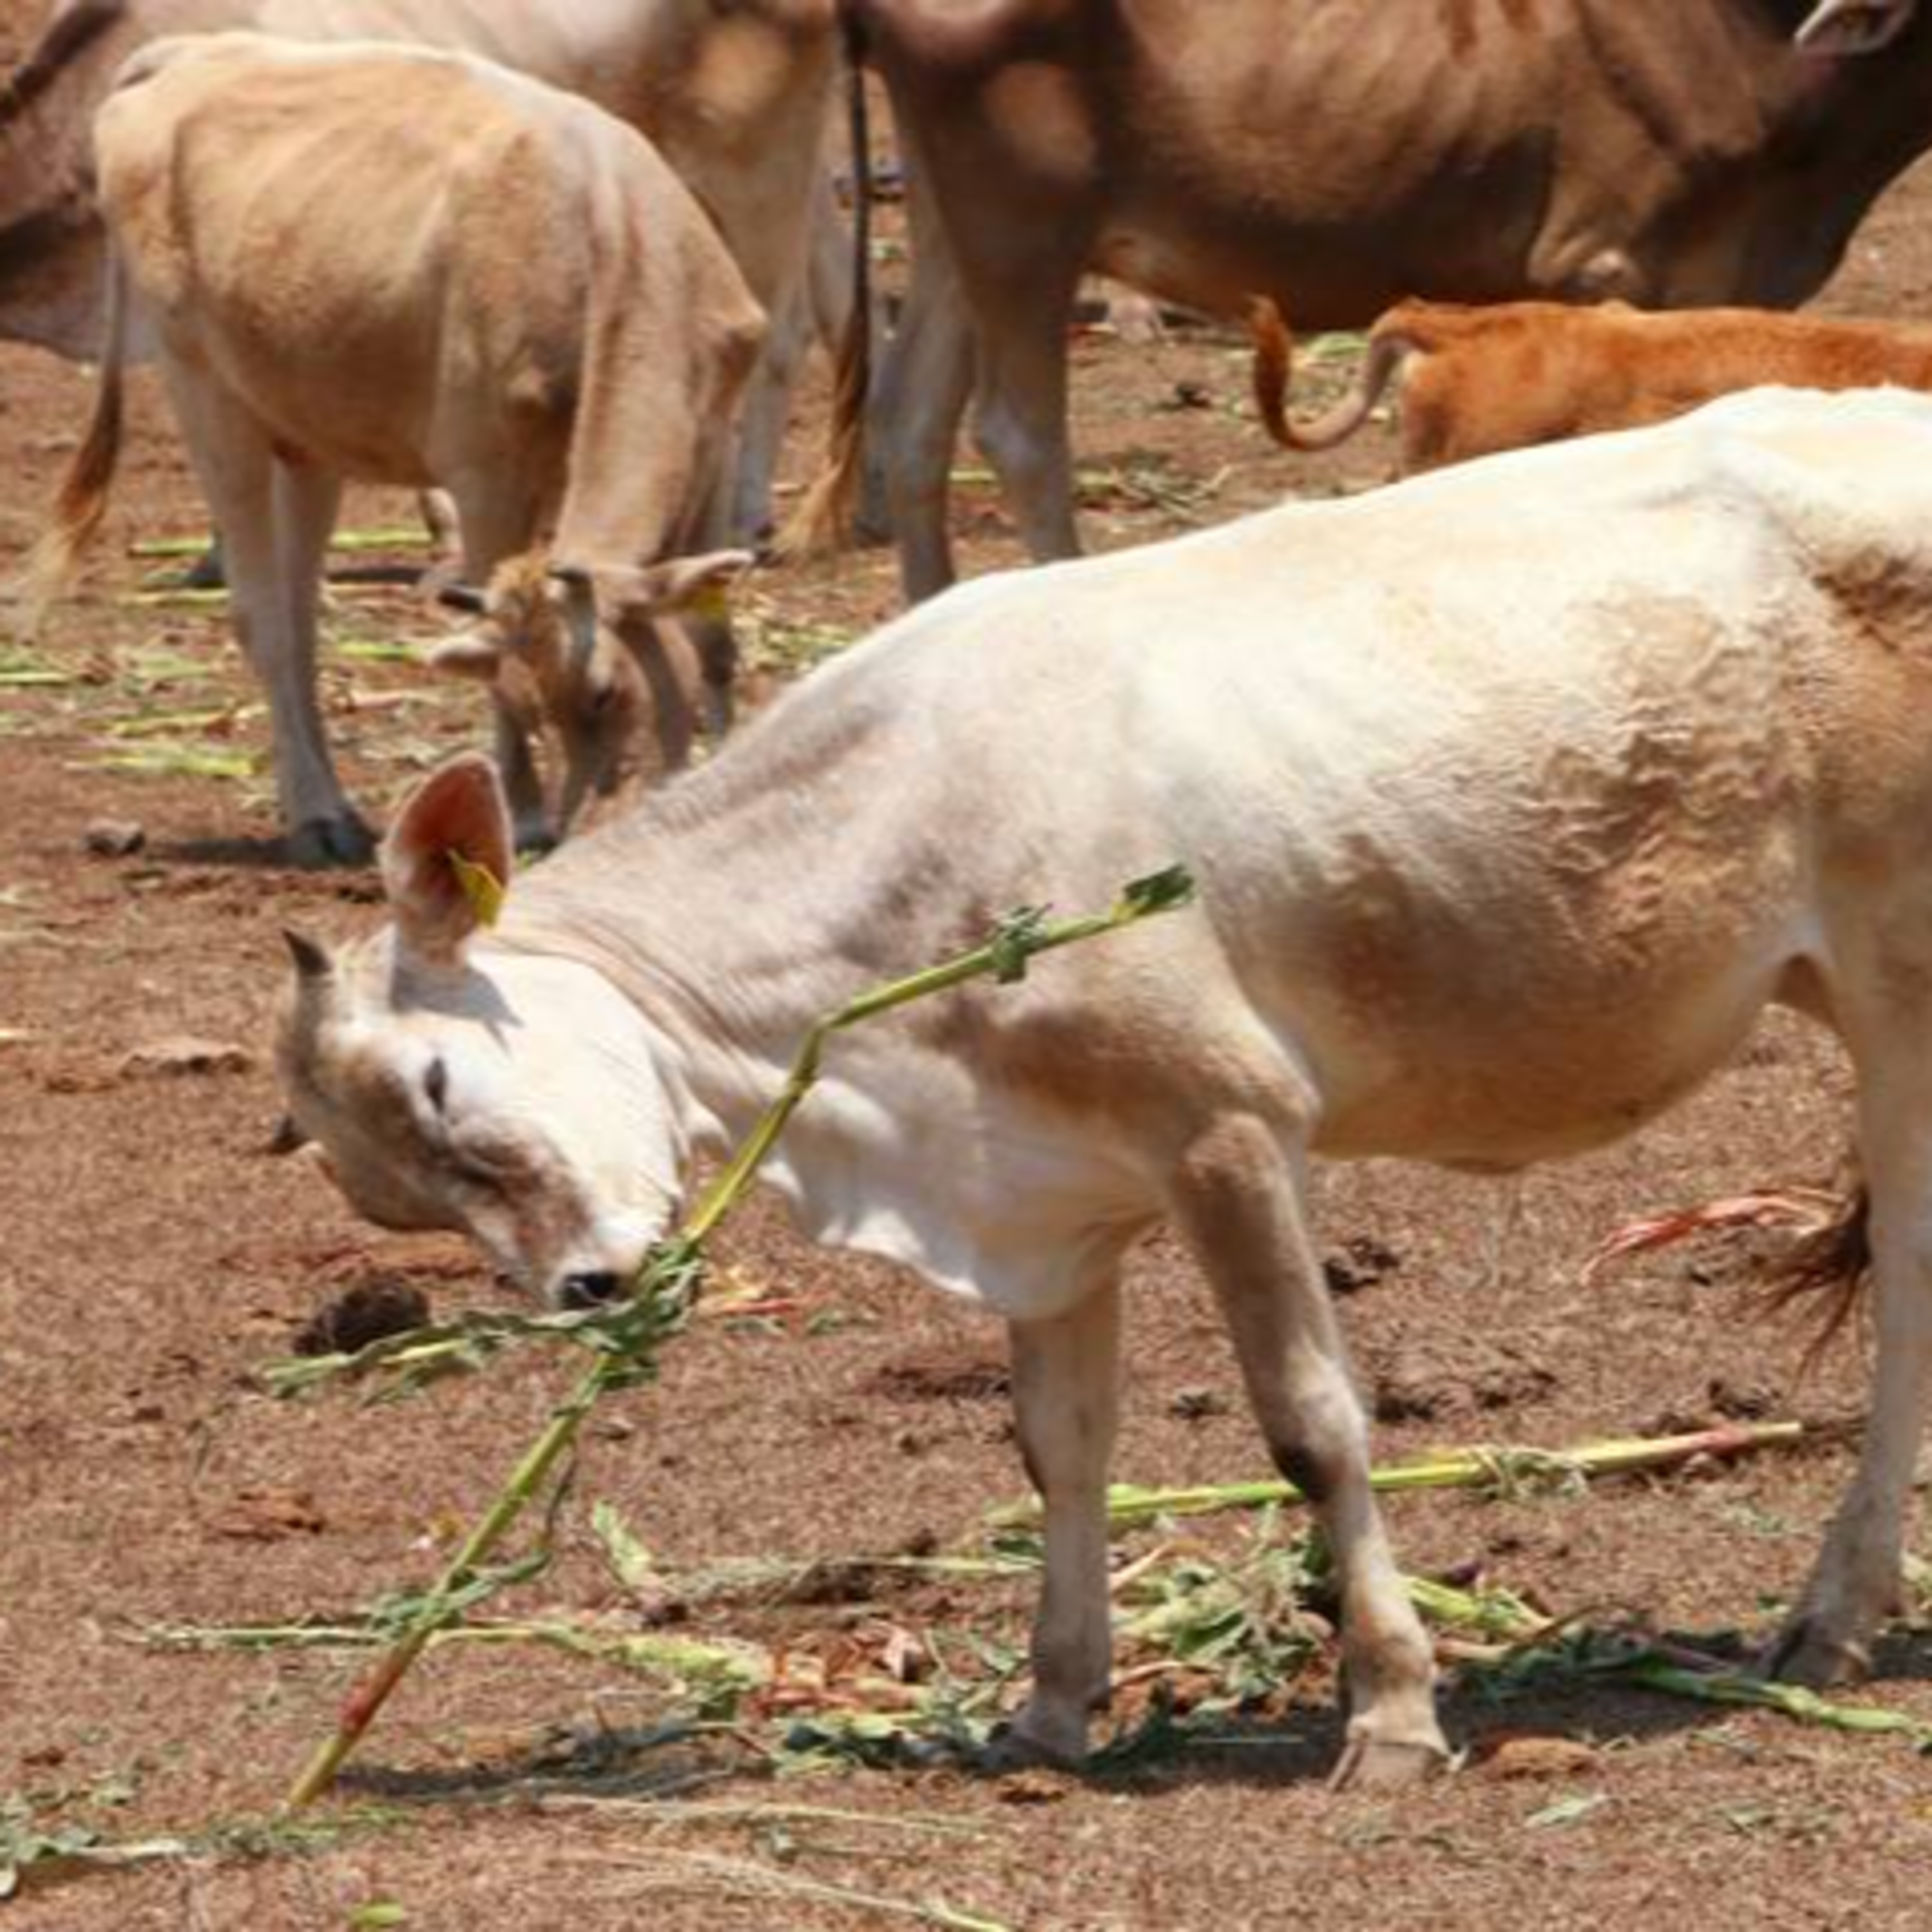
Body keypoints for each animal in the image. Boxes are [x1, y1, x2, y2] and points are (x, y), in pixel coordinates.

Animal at [29, 34, 765, 864]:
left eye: (607, 692)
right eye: (539, 708)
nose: (584, 833)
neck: (606, 233)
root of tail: (189, 51)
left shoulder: (716, 441)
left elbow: (712, 640)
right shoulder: (485, 470)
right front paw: (521, 814)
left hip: (304, 434)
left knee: (300, 620)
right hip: (204, 393)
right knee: (262, 617)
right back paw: (315, 816)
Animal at [277, 383, 1932, 1784]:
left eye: (439, 1080)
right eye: (392, 1195)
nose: (588, 1286)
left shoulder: (1227, 1124)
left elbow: (1310, 1422)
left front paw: (1391, 1711)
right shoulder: (1048, 1197)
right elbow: (1057, 1445)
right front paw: (1051, 1704)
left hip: (1897, 990)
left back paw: (1827, 1619)